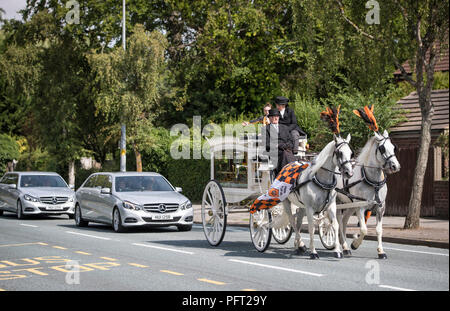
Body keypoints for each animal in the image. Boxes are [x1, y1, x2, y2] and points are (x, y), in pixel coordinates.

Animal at [338, 130, 400, 260]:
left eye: (393, 147)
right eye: (382, 148)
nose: (395, 166)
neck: (372, 181)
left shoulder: (381, 207)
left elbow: (379, 230)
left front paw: (381, 251)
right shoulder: (361, 207)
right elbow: (363, 229)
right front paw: (355, 243)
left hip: (350, 205)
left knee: (344, 220)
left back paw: (344, 245)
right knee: (338, 222)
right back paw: (345, 246)